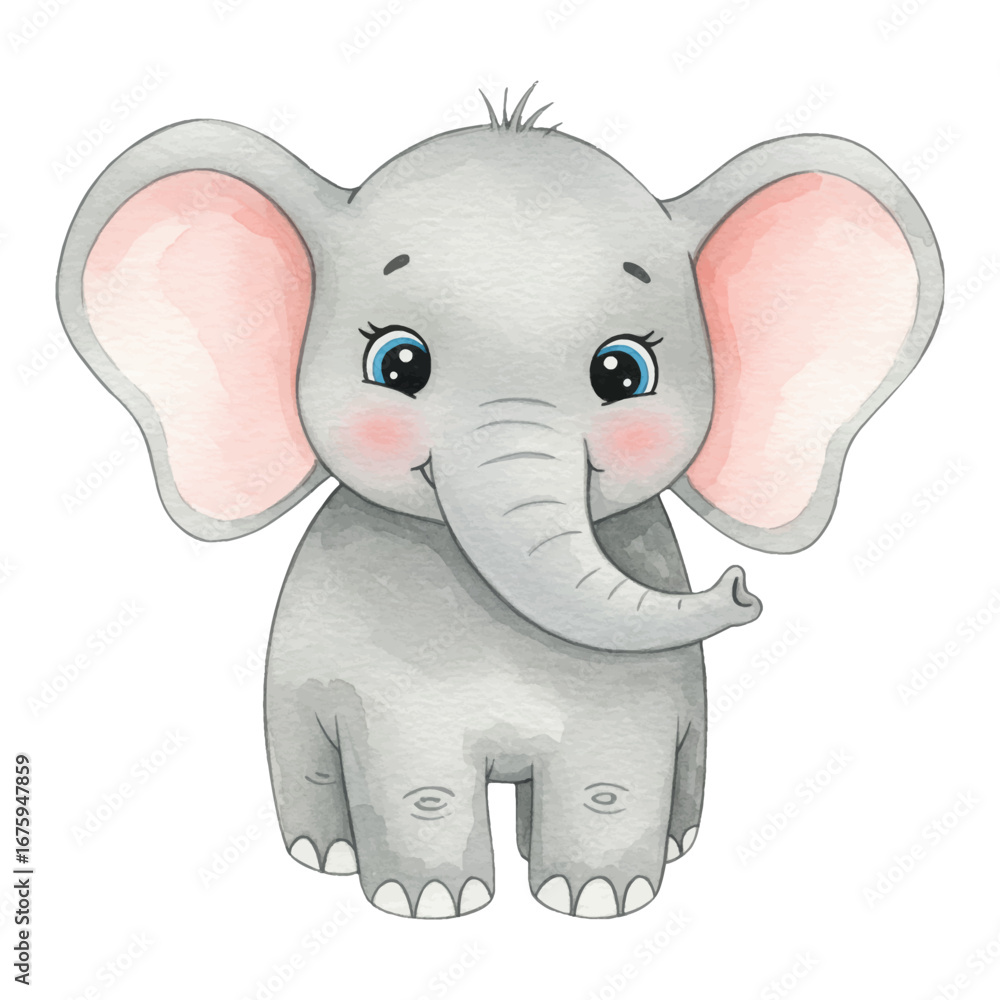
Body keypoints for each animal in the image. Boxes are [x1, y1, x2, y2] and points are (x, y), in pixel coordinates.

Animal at [56, 86, 942, 919]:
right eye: (398, 363)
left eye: (623, 374)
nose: (739, 588)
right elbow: (417, 776)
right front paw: (429, 903)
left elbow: (612, 772)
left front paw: (599, 899)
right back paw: (327, 855)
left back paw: (666, 844)